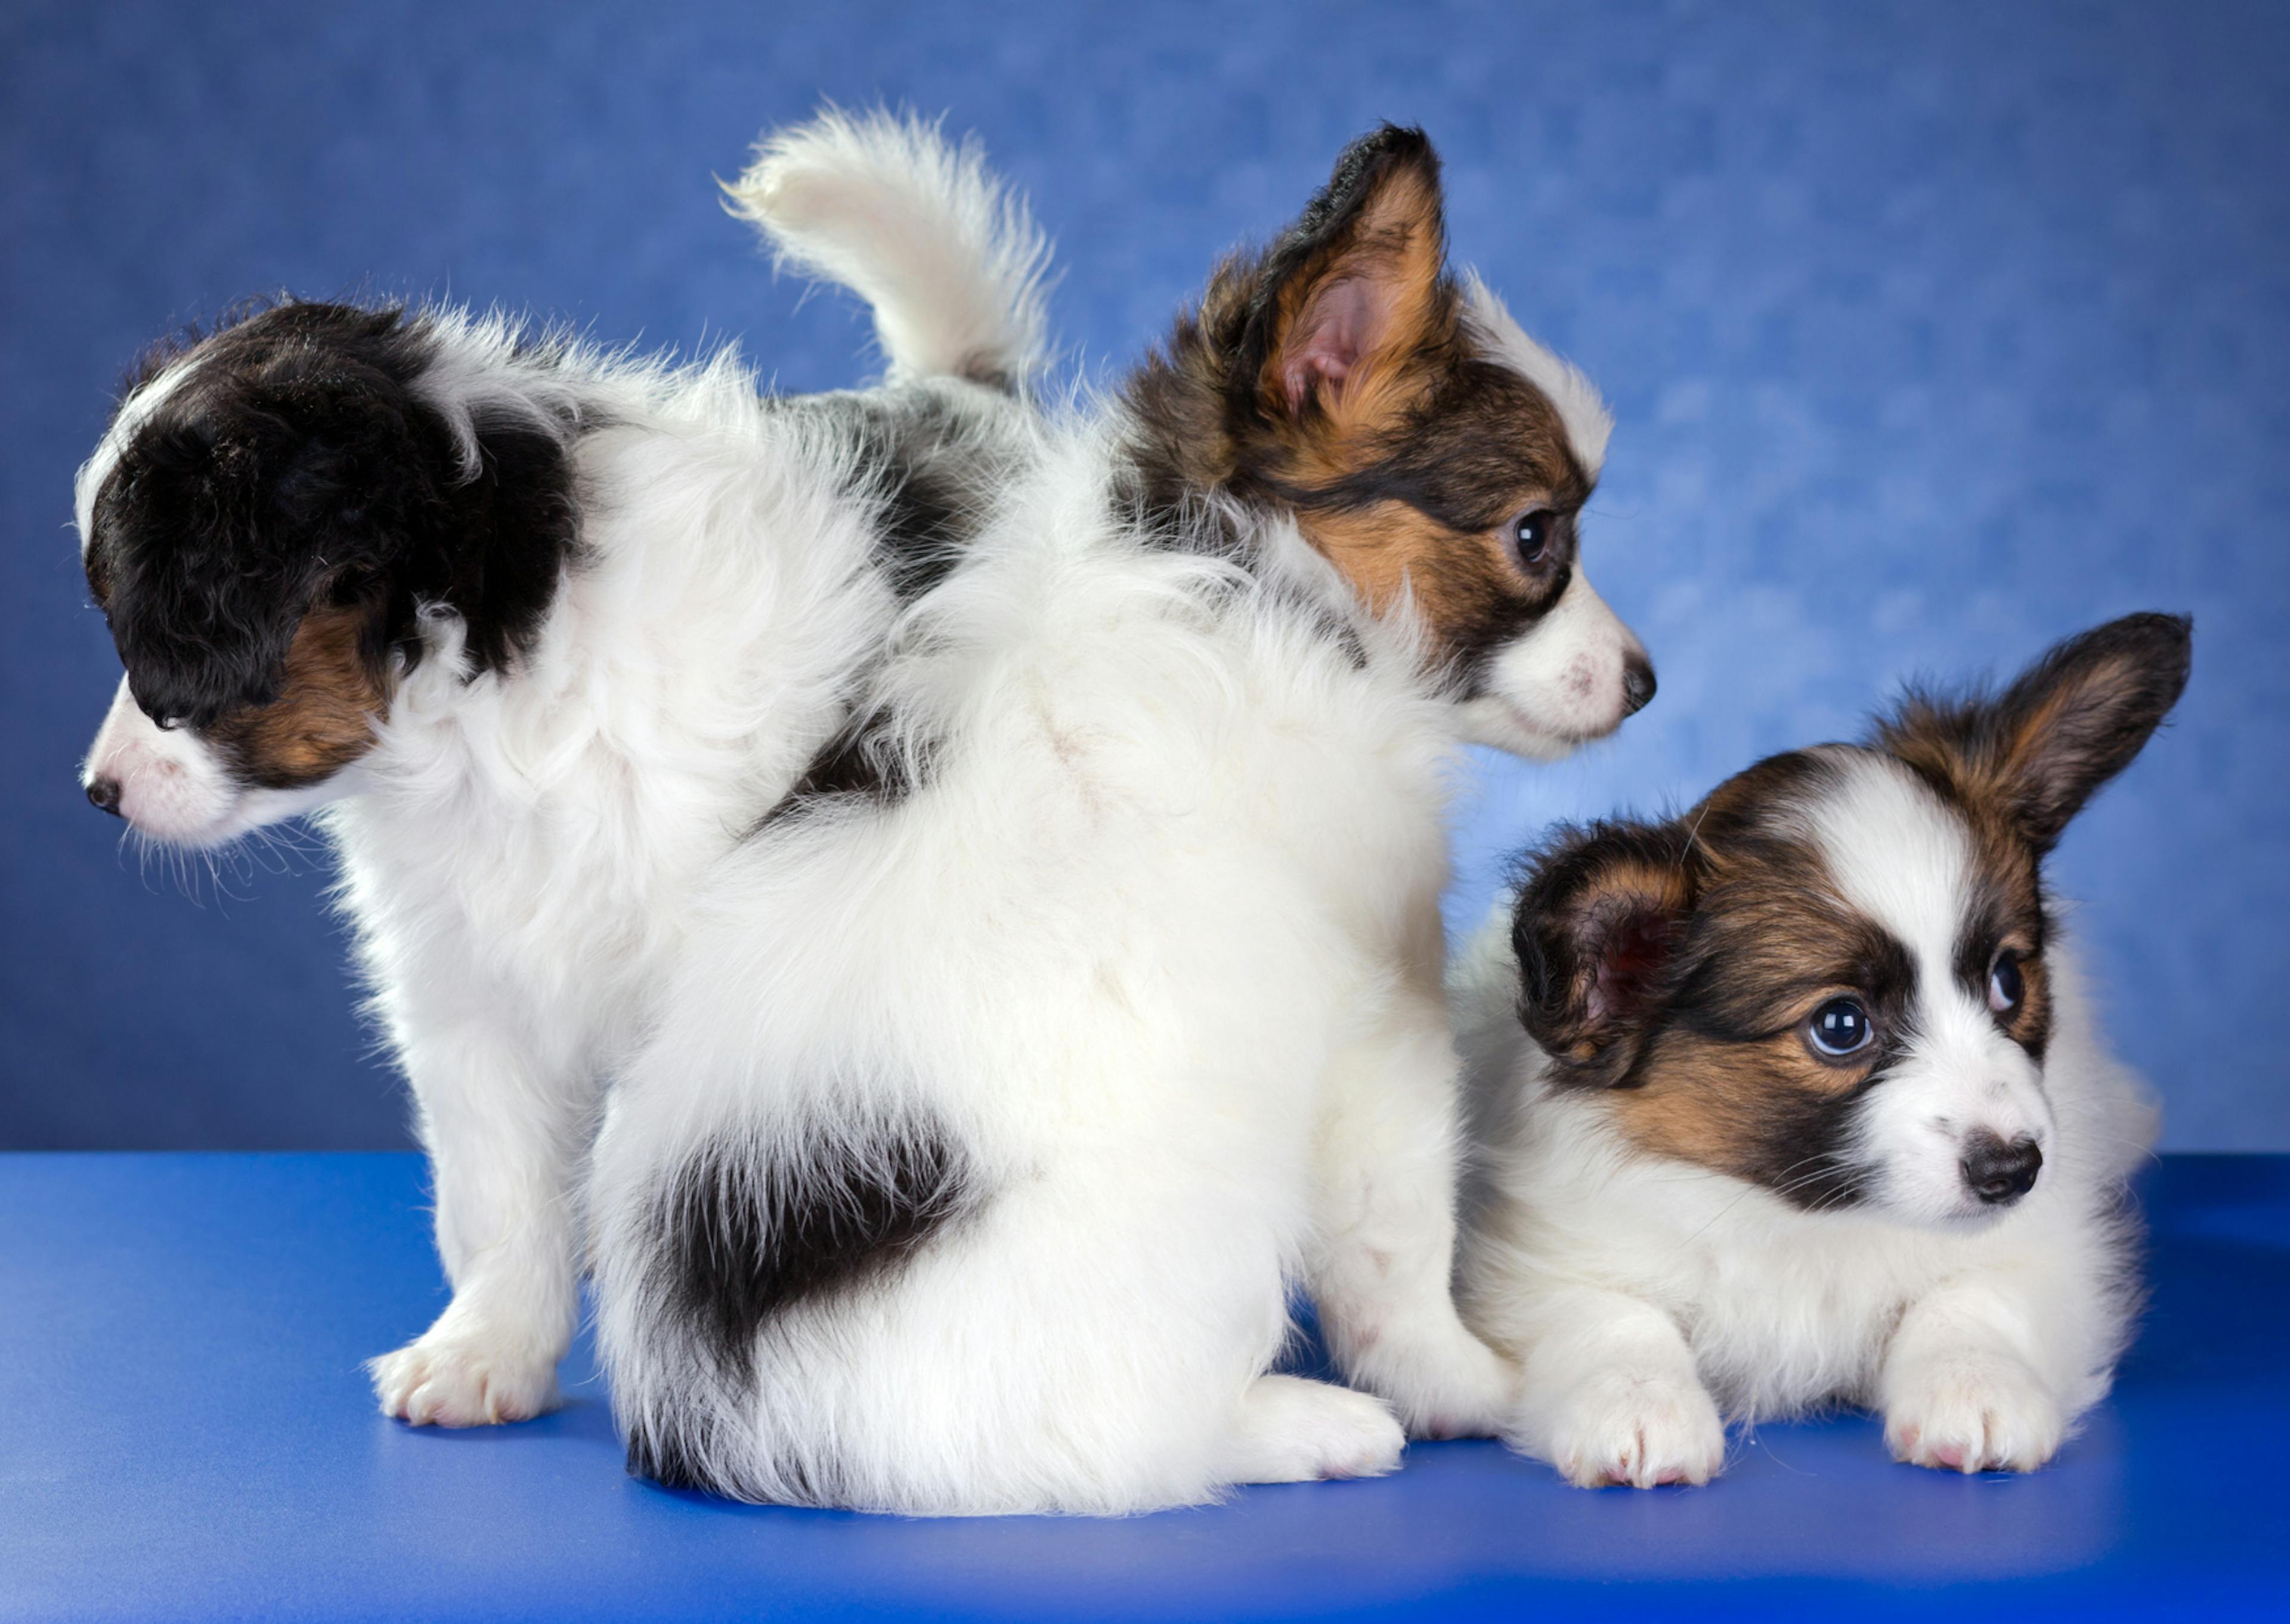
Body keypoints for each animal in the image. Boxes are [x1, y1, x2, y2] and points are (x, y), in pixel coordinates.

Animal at [73, 114, 1053, 1429]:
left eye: (159, 628)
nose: (100, 790)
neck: (496, 714)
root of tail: (970, 396)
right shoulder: (466, 987)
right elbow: (497, 1189)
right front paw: (485, 1348)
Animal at [590, 123, 1658, 1511]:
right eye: (1537, 537)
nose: (1645, 681)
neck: (1250, 574)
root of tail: (746, 1427)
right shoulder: (1381, 1026)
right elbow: (1401, 1247)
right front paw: (1474, 1386)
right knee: (1142, 1439)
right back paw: (1311, 1425)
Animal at [1456, 609, 2189, 1484]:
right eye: (1841, 1027)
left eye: (2008, 980)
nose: (2014, 1170)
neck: (1806, 1216)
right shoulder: (1537, 1266)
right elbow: (1612, 1317)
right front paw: (1637, 1404)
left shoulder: (2052, 1254)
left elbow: (1972, 1298)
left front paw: (1975, 1387)